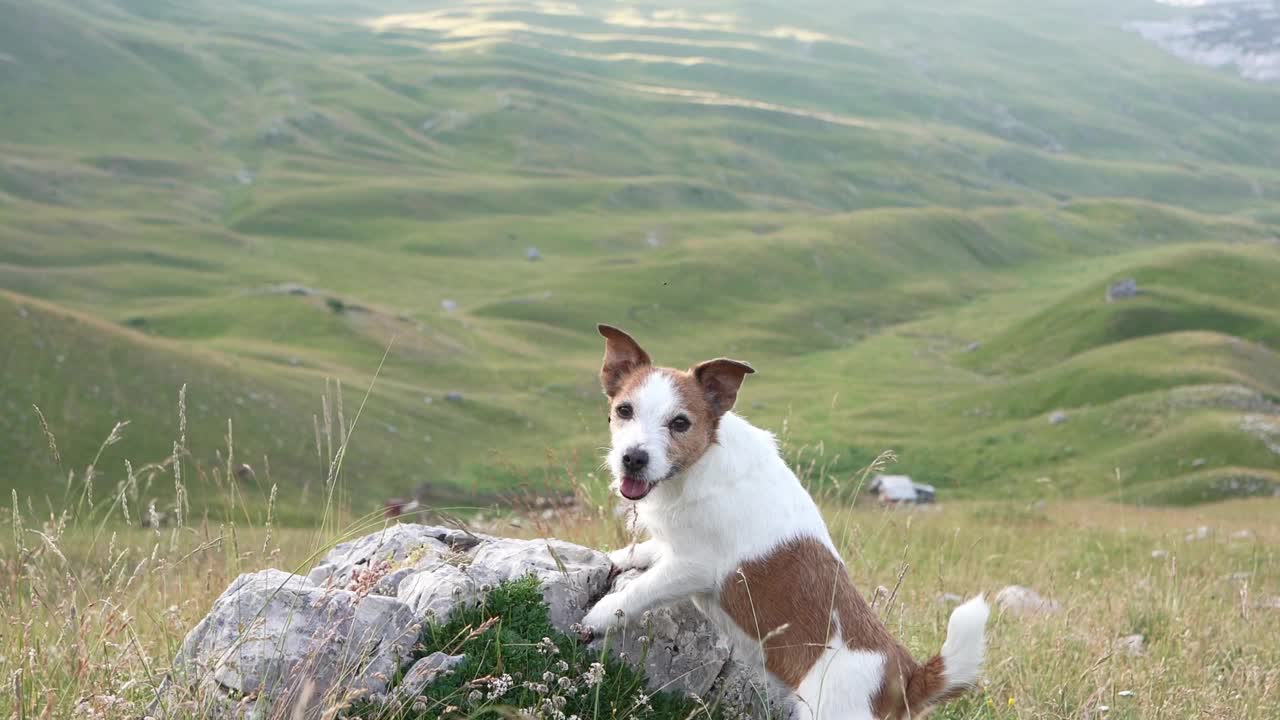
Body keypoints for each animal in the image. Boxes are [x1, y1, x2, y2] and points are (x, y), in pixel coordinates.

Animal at [581, 325, 988, 717]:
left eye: (680, 423)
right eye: (624, 410)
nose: (632, 458)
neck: (700, 464)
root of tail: (904, 679)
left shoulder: (694, 566)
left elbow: (639, 590)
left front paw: (598, 618)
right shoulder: (674, 543)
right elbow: (646, 550)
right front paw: (619, 558)